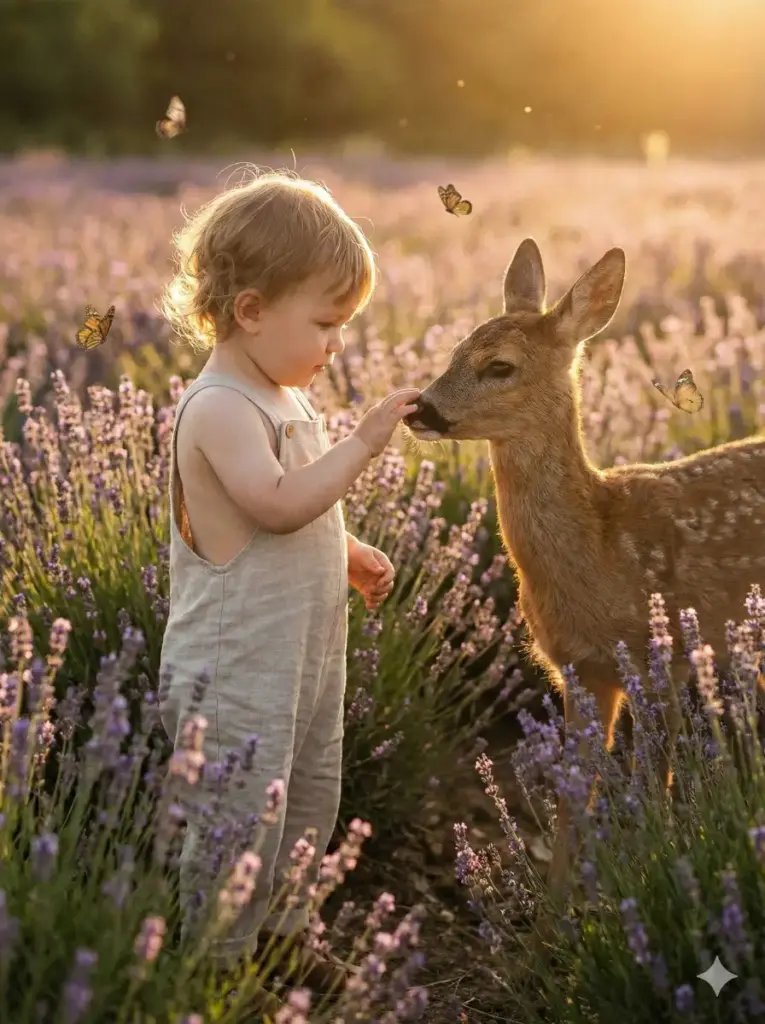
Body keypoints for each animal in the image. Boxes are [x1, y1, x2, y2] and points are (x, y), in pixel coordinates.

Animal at [404, 238, 765, 898]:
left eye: (500, 366)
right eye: (455, 349)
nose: (419, 410)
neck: (598, 547)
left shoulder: (659, 660)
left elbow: (654, 786)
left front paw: (656, 871)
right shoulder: (577, 670)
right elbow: (573, 795)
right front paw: (557, 908)